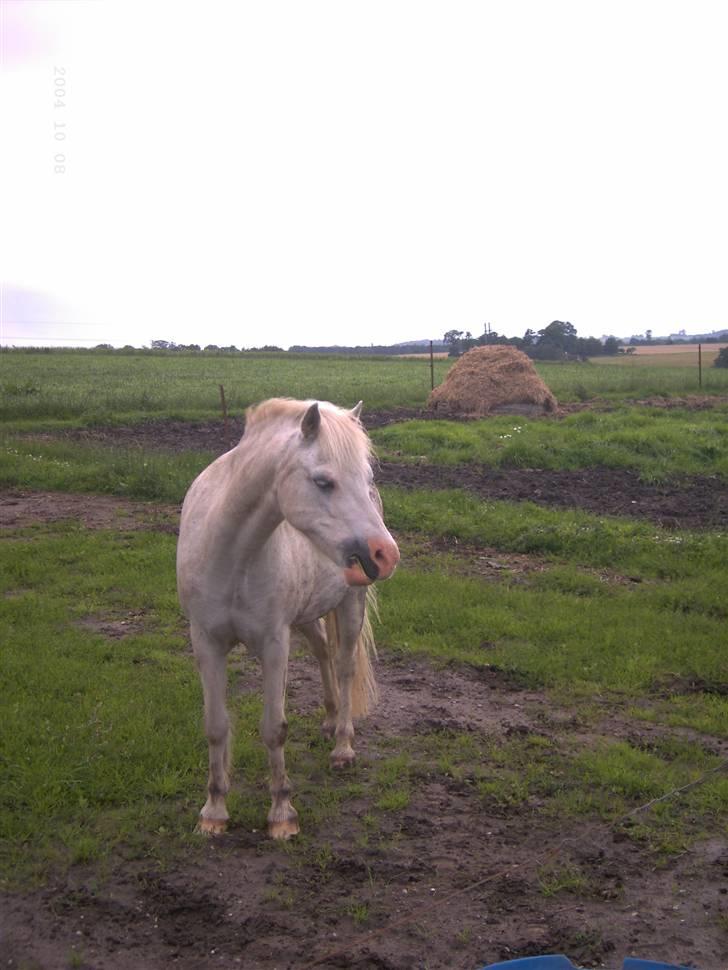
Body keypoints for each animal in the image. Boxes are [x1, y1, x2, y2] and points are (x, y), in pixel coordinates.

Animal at [179, 398, 400, 836]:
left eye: (365, 476)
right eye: (323, 481)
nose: (386, 554)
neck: (231, 556)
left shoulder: (274, 644)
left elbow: (274, 728)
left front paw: (282, 813)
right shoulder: (206, 642)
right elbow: (215, 726)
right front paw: (213, 811)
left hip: (351, 604)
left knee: (344, 666)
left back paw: (342, 746)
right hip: (307, 617)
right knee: (323, 652)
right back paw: (329, 720)